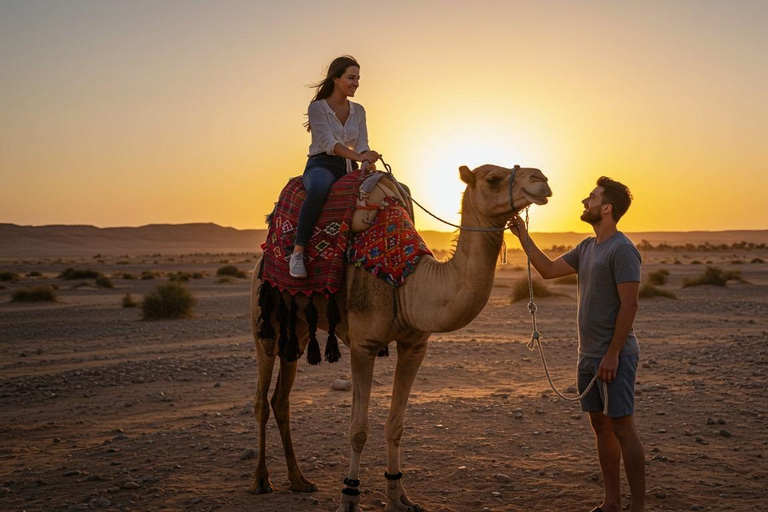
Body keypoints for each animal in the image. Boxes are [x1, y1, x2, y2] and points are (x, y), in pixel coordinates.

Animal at [250, 164, 552, 512]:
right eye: (492, 178)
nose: (541, 179)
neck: (407, 282)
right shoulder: (364, 346)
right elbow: (358, 430)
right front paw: (349, 496)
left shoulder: (414, 346)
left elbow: (396, 426)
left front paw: (399, 498)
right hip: (264, 323)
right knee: (261, 399)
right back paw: (261, 480)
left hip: (296, 332)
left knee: (281, 399)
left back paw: (299, 480)